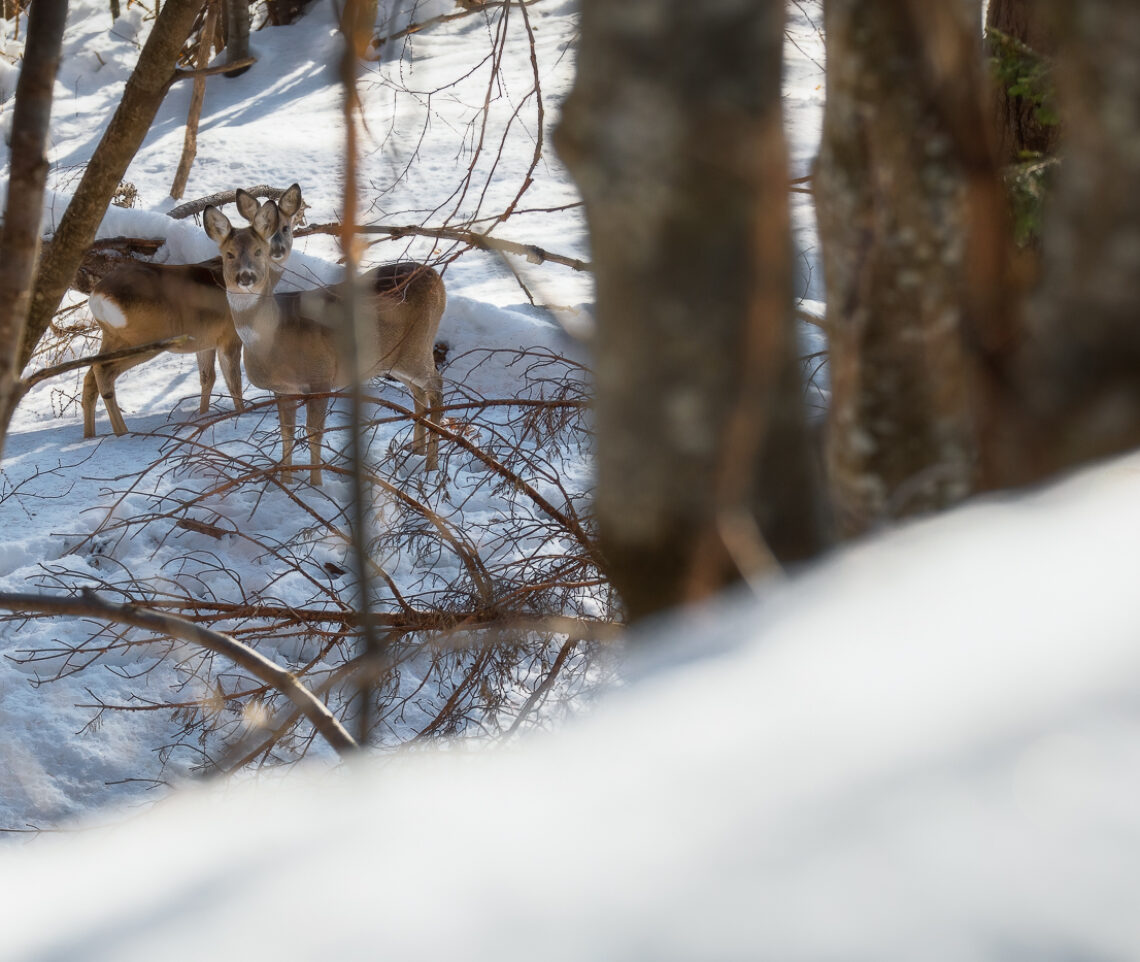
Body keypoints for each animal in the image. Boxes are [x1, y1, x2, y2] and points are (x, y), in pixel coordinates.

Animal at [81, 184, 303, 439]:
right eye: (230, 253)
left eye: (286, 228)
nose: (277, 250)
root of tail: (98, 295)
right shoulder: (229, 336)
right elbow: (233, 382)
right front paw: (240, 415)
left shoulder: (204, 341)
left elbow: (207, 378)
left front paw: (202, 416)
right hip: (142, 337)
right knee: (103, 372)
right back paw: (122, 433)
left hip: (112, 335)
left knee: (90, 375)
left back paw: (89, 435)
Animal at [202, 197, 442, 481]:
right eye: (229, 254)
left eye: (259, 251)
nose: (246, 276)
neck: (274, 336)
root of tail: (437, 279)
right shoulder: (284, 389)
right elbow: (287, 433)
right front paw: (286, 481)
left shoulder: (320, 376)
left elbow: (314, 432)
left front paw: (315, 483)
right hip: (396, 358)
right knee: (419, 392)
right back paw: (416, 451)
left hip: (418, 345)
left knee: (436, 386)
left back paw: (431, 464)